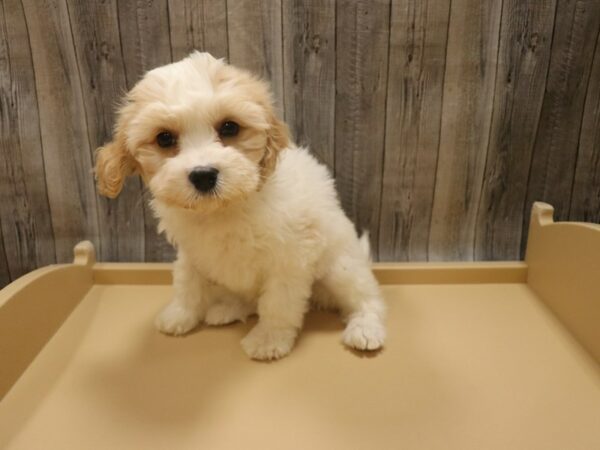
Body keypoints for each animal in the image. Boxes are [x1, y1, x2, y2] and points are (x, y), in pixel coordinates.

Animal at [94, 51, 384, 362]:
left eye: (229, 127)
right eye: (164, 138)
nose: (203, 175)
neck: (224, 207)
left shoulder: (289, 260)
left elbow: (278, 303)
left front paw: (269, 339)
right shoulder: (191, 251)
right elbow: (186, 282)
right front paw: (180, 314)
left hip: (342, 268)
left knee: (367, 297)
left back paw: (366, 327)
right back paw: (227, 309)